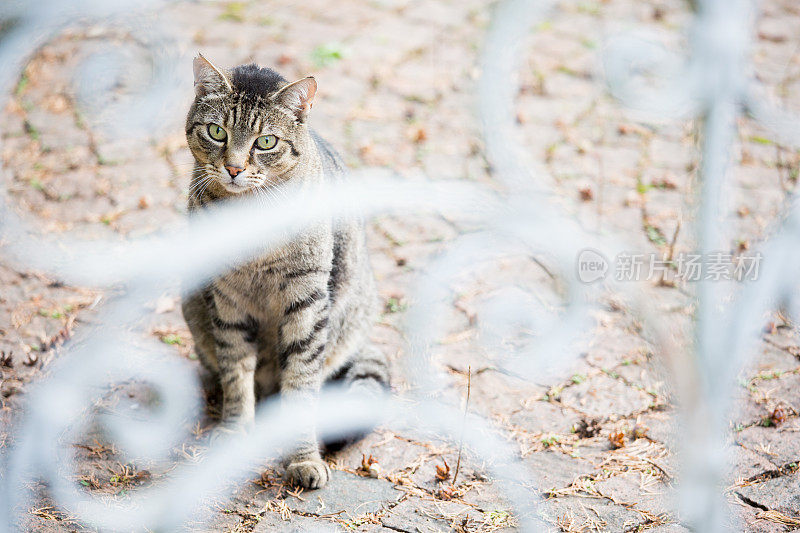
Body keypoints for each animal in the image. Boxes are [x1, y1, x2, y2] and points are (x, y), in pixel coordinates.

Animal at [184, 56, 390, 488]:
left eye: (266, 142)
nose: (233, 168)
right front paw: (234, 431)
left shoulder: (307, 301)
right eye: (216, 132)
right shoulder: (226, 299)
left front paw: (304, 458)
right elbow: (236, 372)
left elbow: (300, 382)